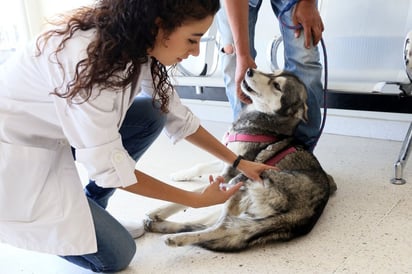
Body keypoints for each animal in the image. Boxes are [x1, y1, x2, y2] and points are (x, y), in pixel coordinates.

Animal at [143, 68, 336, 250]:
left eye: (277, 85)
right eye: (273, 72)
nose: (249, 70)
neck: (265, 123)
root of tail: (300, 217)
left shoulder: (232, 171)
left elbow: (197, 192)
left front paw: (158, 210)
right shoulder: (229, 157)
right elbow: (201, 166)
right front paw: (180, 175)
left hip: (243, 181)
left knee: (220, 227)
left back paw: (175, 237)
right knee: (211, 224)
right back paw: (161, 227)